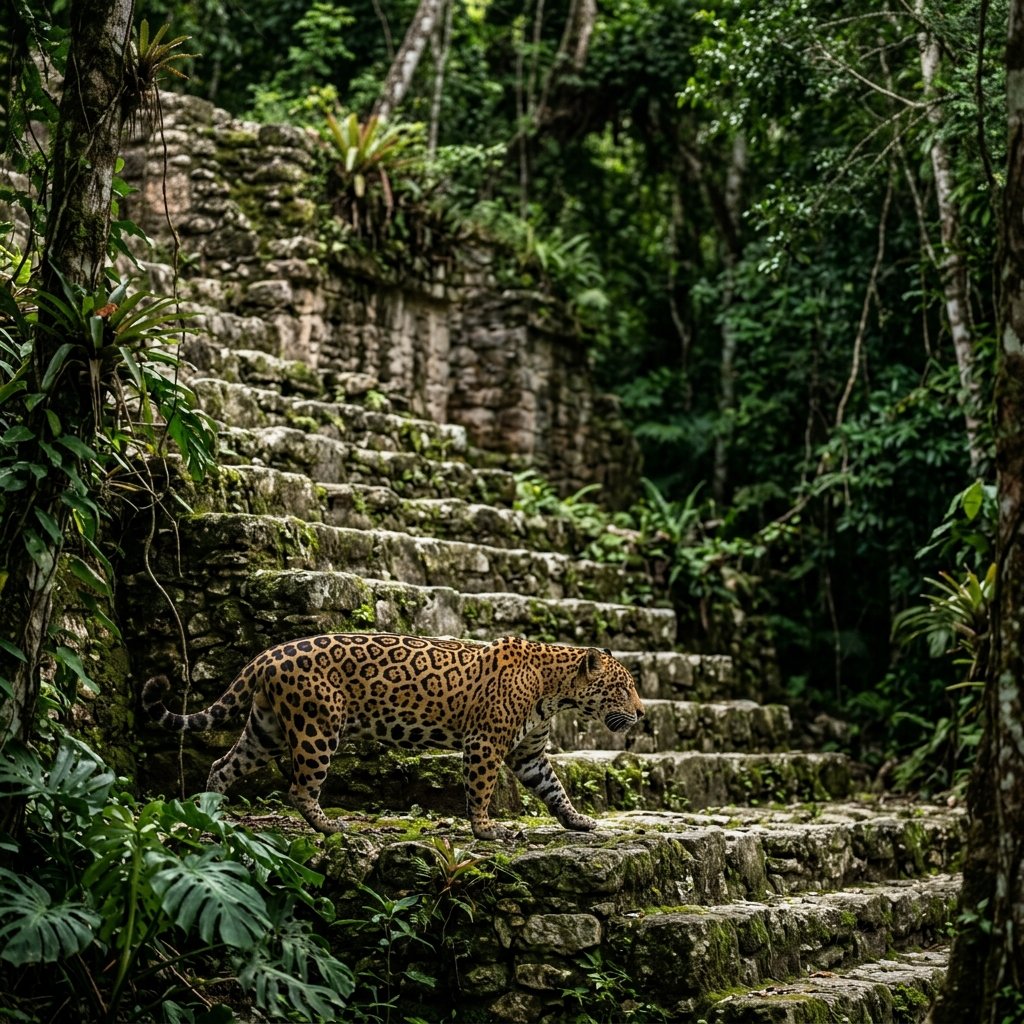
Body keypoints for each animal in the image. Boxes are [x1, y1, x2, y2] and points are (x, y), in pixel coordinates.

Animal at [142, 632, 645, 840]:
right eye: (623, 688)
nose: (641, 713)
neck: (555, 688)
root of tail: (265, 656)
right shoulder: (485, 742)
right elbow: (480, 789)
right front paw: (485, 829)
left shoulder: (529, 753)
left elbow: (554, 788)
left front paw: (577, 821)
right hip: (317, 727)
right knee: (299, 787)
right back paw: (328, 825)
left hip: (266, 729)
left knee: (222, 764)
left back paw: (211, 811)